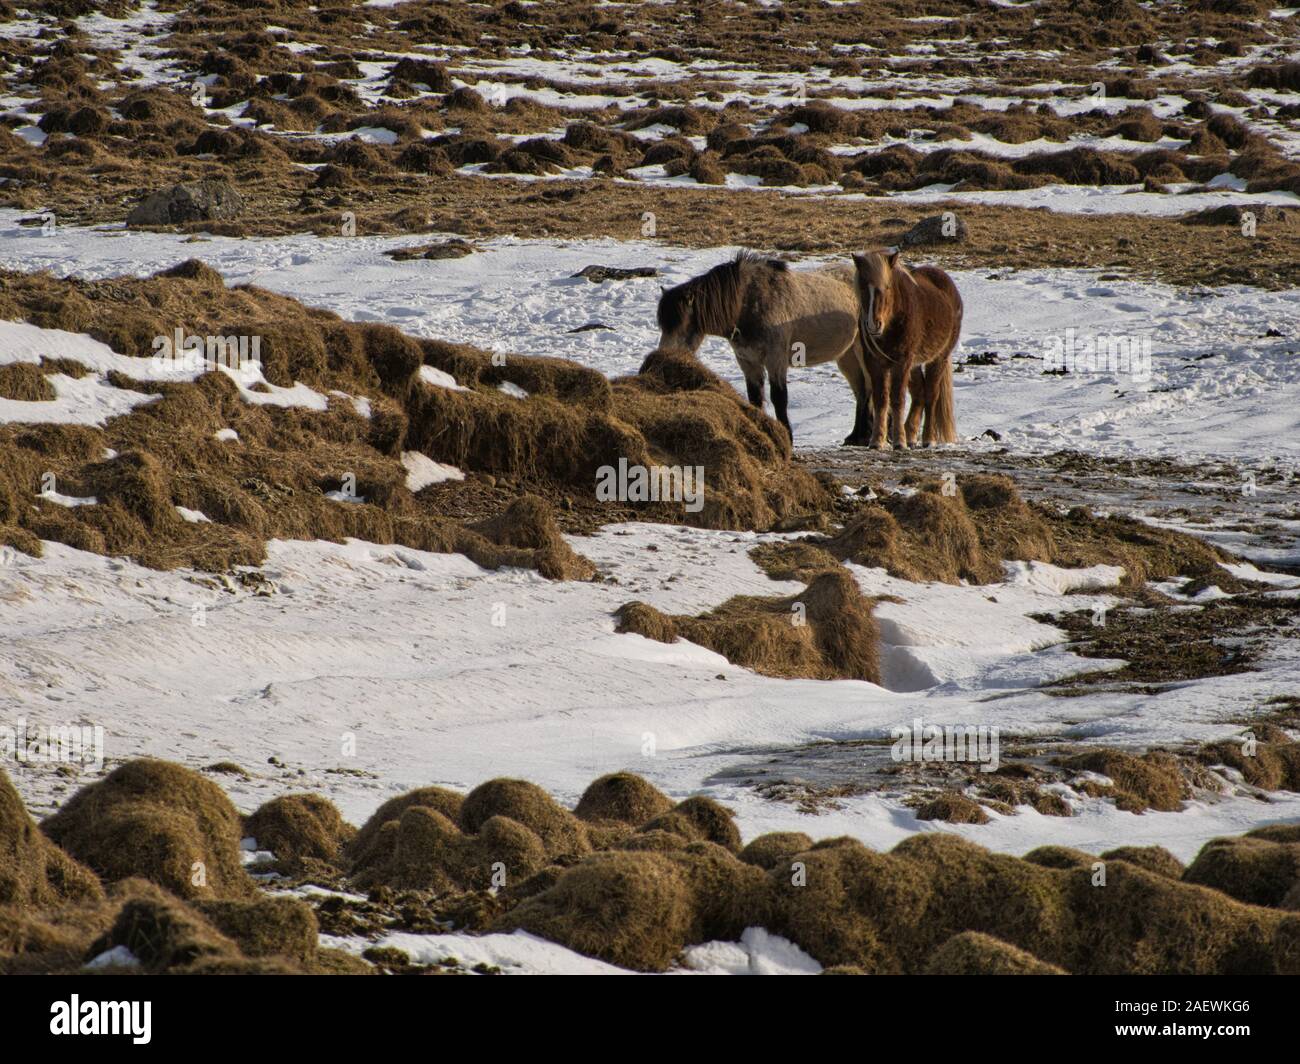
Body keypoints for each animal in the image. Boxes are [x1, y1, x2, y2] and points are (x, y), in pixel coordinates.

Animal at [660, 248, 873, 444]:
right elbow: (754, 398)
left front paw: (787, 437)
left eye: (682, 324)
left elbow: (779, 398)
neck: (750, 303)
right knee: (861, 389)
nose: (664, 355)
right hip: (846, 356)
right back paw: (857, 436)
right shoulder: (748, 361)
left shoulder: (775, 360)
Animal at [852, 248, 956, 447]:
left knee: (931, 396)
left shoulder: (901, 361)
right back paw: (911, 436)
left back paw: (928, 439)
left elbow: (897, 399)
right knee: (919, 394)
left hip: (938, 359)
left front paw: (899, 442)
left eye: (886, 287)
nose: (873, 325)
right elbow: (881, 399)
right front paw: (877, 440)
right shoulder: (875, 362)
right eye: (862, 288)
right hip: (914, 365)